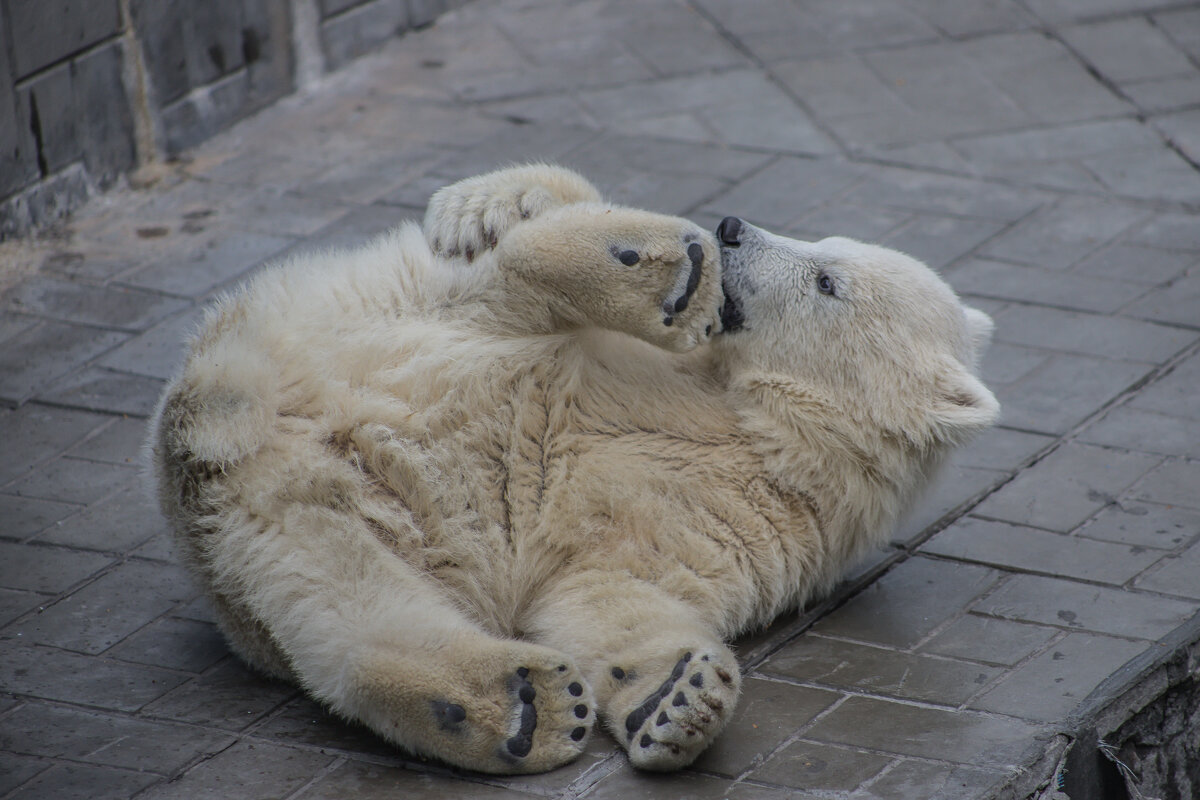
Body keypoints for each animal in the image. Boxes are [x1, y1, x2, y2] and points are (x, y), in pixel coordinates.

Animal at [147, 164, 993, 777]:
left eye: (827, 281)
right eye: (826, 246)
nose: (732, 229)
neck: (757, 418)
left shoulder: (760, 520)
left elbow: (609, 595)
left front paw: (678, 699)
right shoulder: (654, 370)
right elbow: (553, 209)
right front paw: (483, 205)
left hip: (277, 524)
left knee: (351, 606)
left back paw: (521, 706)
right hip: (367, 318)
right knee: (501, 289)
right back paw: (659, 267)